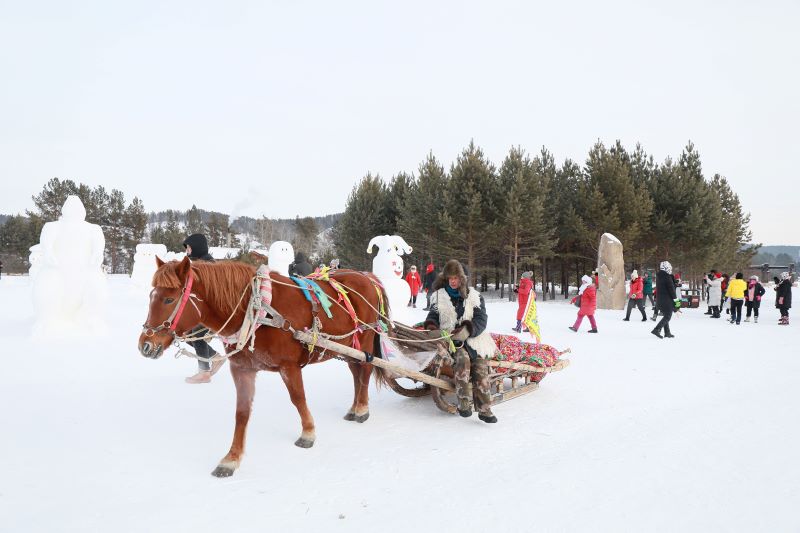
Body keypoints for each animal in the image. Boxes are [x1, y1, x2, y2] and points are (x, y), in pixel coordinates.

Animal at [138, 256, 390, 476]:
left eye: (169, 299)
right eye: (151, 296)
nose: (145, 345)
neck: (257, 310)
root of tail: (367, 276)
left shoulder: (289, 367)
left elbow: (298, 399)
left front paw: (308, 433)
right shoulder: (242, 369)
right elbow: (242, 413)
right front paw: (231, 458)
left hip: (365, 340)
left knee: (365, 371)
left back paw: (362, 409)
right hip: (348, 346)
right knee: (356, 373)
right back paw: (354, 407)